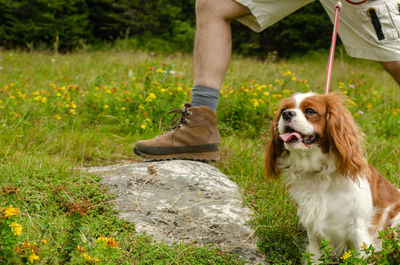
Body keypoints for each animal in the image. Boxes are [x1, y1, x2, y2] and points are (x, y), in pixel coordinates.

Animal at [266, 92, 400, 260]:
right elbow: (315, 256)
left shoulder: (358, 228)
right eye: (284, 109)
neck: (319, 172)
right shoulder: (313, 227)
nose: (287, 114)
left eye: (310, 111)